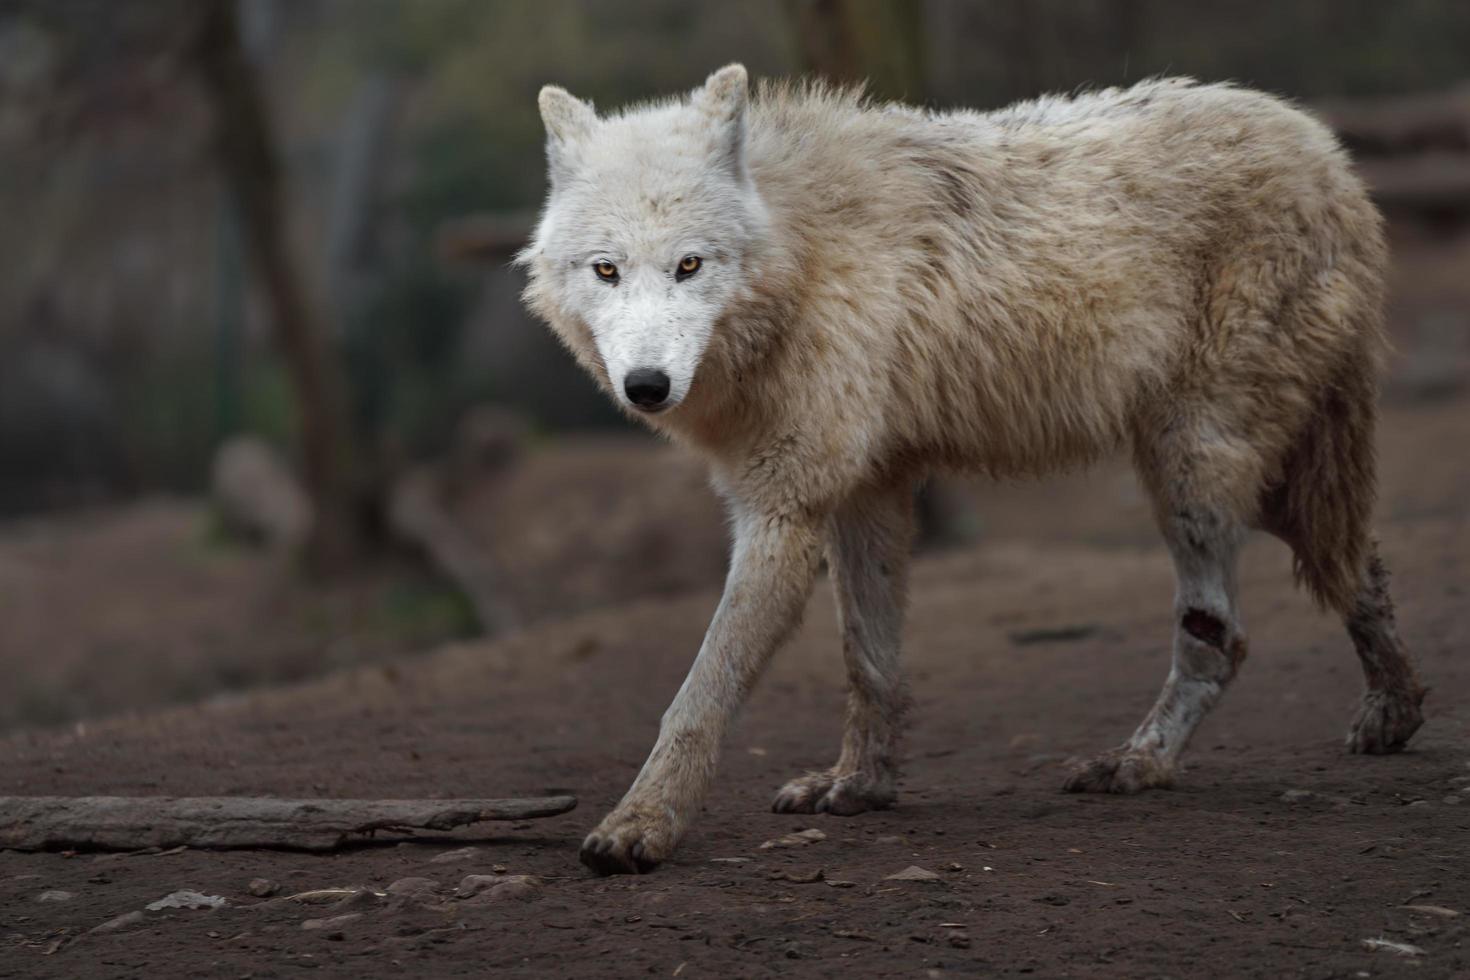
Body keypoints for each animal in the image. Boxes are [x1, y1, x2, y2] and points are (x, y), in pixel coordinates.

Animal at [517, 63, 1422, 875]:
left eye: (690, 266)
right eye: (606, 269)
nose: (647, 386)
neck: (804, 255)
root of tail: (1326, 153)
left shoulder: (784, 508)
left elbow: (700, 694)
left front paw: (641, 826)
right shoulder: (866, 491)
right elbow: (870, 661)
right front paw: (859, 785)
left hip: (1195, 472)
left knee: (1223, 634)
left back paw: (1141, 762)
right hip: (1247, 473)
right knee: (1356, 564)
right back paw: (1396, 711)